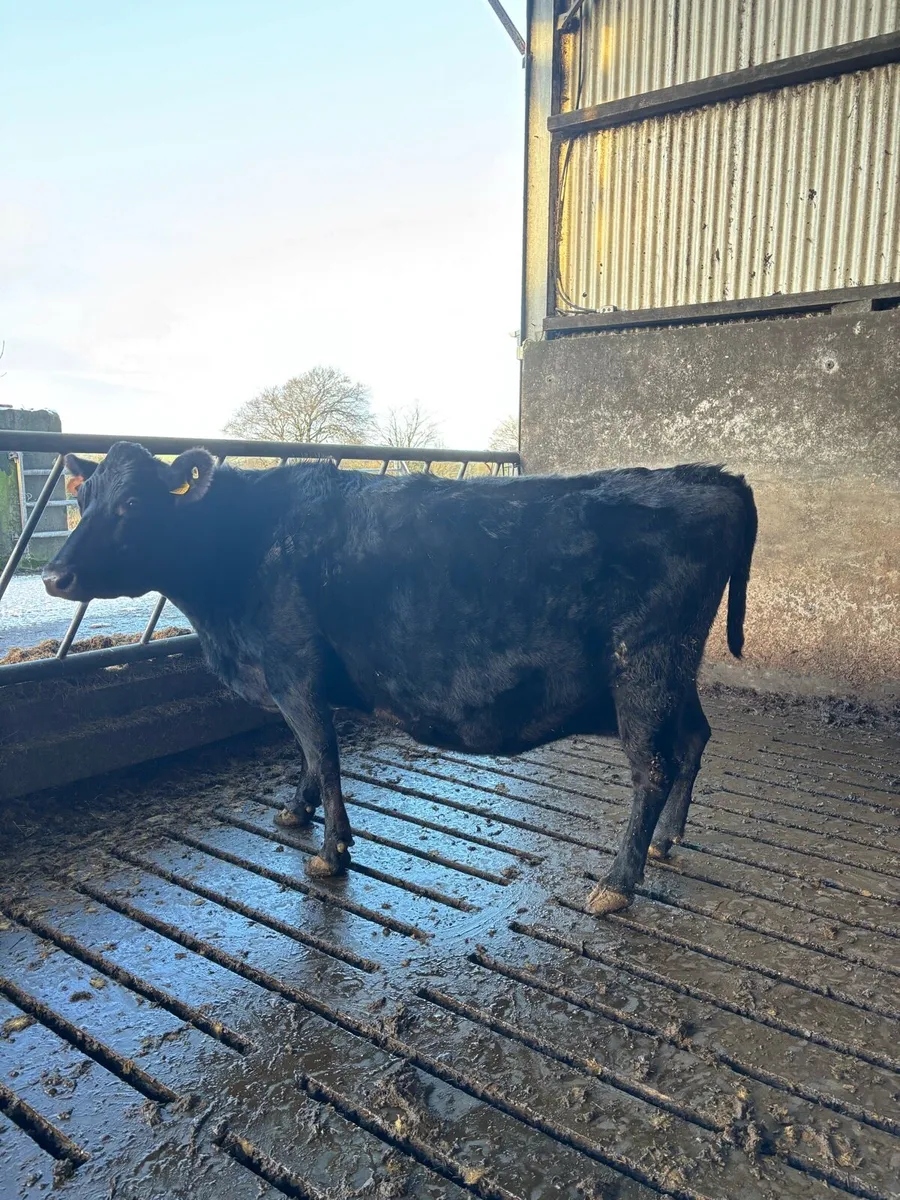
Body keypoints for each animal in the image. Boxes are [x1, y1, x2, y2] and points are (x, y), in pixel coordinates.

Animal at [43, 442, 756, 915]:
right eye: (79, 498)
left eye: (133, 503)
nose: (54, 575)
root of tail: (710, 476)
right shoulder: (291, 679)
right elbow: (306, 755)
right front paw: (294, 811)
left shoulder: (294, 669)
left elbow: (323, 754)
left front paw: (331, 854)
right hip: (675, 672)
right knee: (694, 739)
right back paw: (665, 843)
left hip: (644, 669)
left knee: (653, 768)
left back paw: (617, 881)